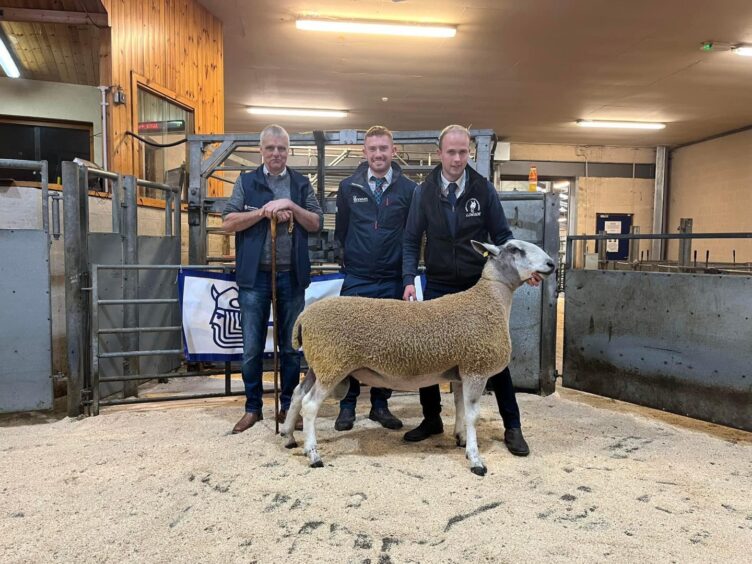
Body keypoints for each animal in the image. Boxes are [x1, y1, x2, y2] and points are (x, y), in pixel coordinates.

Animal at [280, 239, 556, 476]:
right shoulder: (475, 368)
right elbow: (472, 415)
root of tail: (303, 317)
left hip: (319, 364)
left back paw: (289, 437)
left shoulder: (460, 371)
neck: (490, 300)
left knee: (297, 394)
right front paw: (476, 460)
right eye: (515, 249)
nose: (551, 264)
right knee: (310, 405)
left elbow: (460, 407)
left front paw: (461, 439)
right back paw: (313, 455)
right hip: (332, 364)